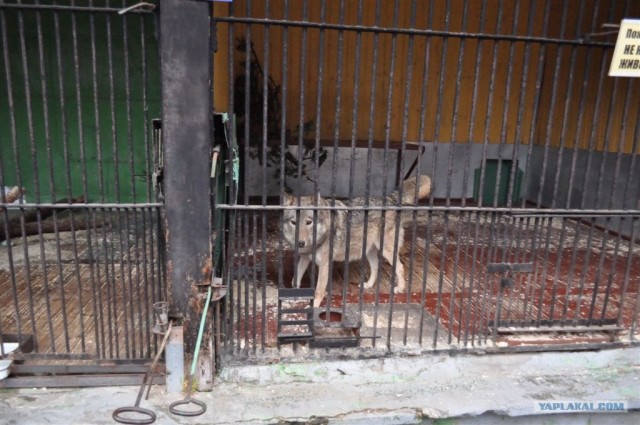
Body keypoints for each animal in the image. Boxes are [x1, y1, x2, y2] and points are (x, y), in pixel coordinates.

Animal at [282, 174, 432, 306]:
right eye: (293, 222)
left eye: (309, 222)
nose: (300, 243)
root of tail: (389, 199)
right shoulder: (304, 258)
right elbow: (295, 280)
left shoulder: (325, 265)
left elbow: (318, 291)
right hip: (369, 251)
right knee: (376, 266)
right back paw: (368, 285)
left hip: (386, 250)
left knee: (400, 267)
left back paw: (400, 288)